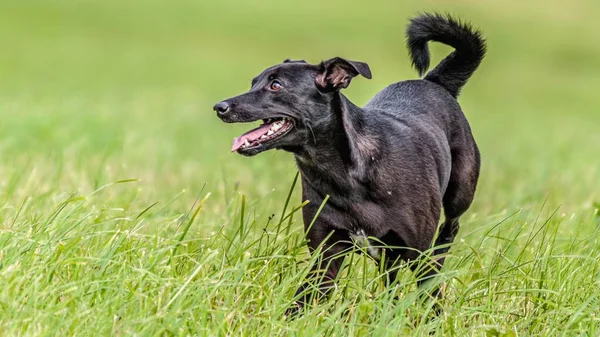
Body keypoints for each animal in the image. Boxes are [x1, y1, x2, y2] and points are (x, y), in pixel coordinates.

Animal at [213, 12, 486, 312]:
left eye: (276, 86)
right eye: (253, 83)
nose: (220, 107)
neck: (344, 174)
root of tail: (434, 82)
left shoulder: (417, 252)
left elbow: (429, 295)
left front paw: (432, 319)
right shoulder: (325, 256)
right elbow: (303, 299)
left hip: (460, 192)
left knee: (449, 230)